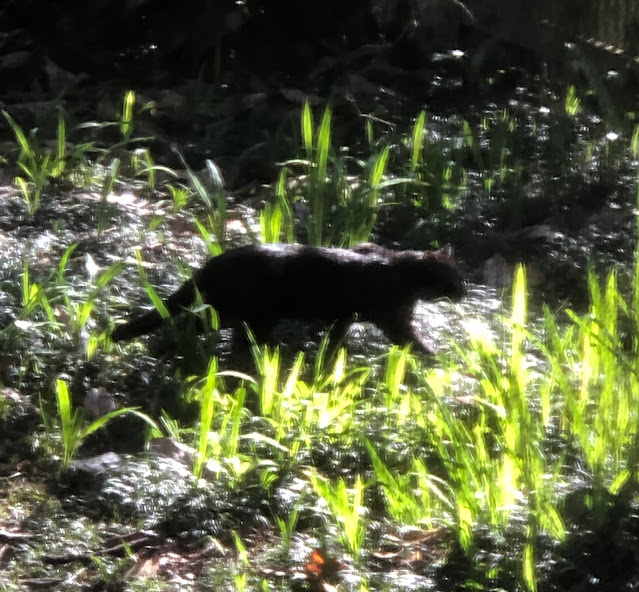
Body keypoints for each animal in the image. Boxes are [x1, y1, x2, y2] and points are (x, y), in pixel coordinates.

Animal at [111, 243, 465, 354]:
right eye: (455, 279)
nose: (464, 292)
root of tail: (213, 263)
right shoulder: (394, 320)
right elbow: (415, 341)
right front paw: (439, 359)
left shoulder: (344, 317)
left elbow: (336, 337)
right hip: (238, 311)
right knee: (184, 324)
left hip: (247, 316)